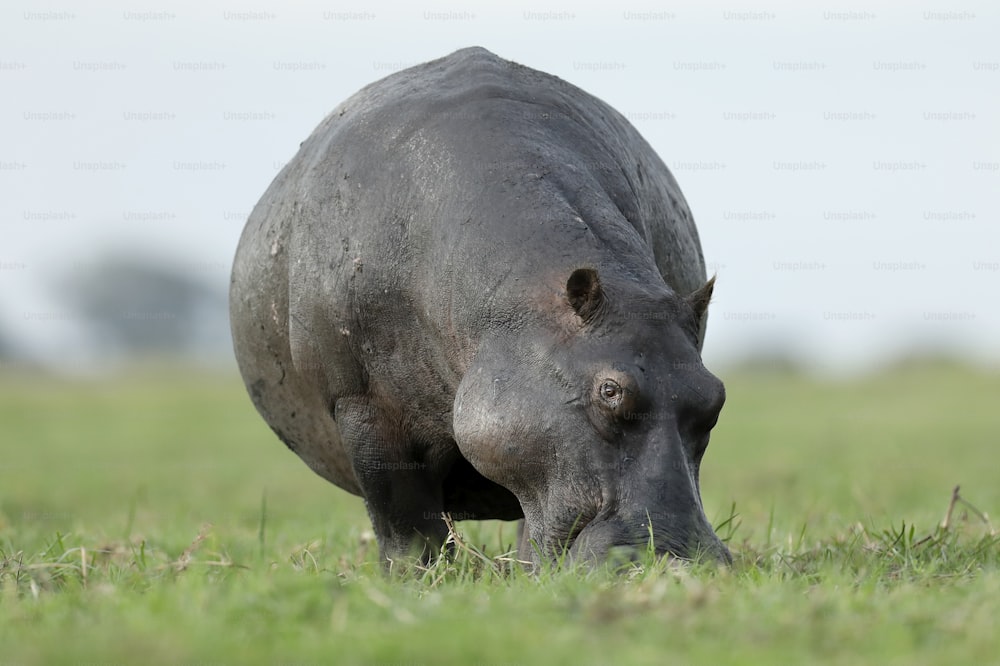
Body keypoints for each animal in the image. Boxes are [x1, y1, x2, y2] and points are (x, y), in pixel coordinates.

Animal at [234, 46, 736, 564]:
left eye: (716, 396)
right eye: (610, 391)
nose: (676, 557)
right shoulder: (362, 405)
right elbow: (406, 527)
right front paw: (417, 576)